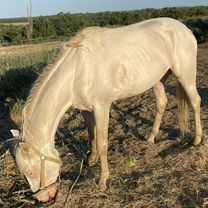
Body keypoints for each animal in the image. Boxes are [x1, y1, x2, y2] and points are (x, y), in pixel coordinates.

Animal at [12, 17, 202, 202]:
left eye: (34, 171)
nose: (44, 198)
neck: (79, 70)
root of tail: (184, 28)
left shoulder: (102, 107)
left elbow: (102, 143)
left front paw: (103, 180)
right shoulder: (85, 109)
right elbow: (91, 135)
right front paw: (91, 160)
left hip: (185, 76)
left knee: (195, 102)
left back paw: (197, 140)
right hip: (158, 79)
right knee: (162, 104)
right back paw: (150, 138)